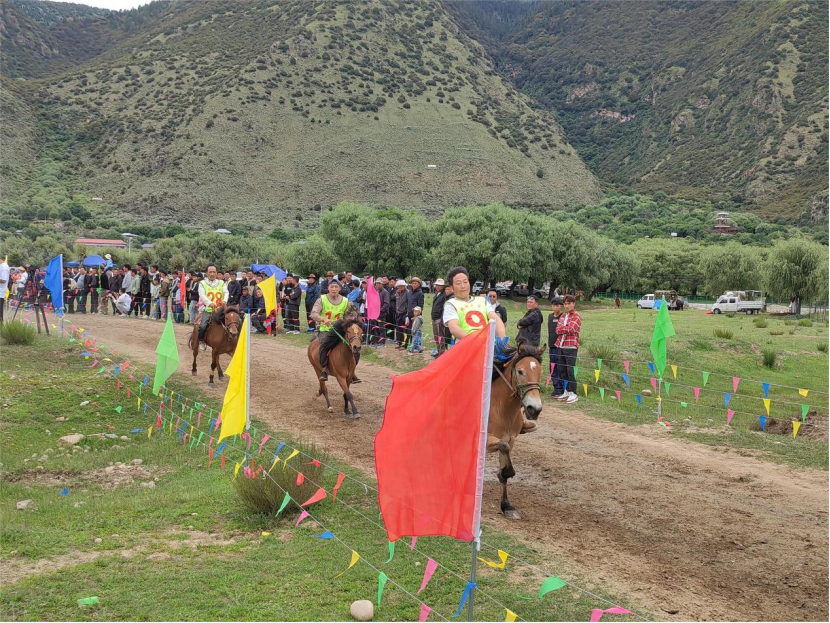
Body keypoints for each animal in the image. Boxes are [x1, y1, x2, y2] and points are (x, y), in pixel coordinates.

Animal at [487, 341, 544, 520]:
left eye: (540, 372)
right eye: (520, 371)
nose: (534, 409)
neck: (500, 408)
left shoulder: (510, 439)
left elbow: (503, 468)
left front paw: (507, 506)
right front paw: (508, 472)